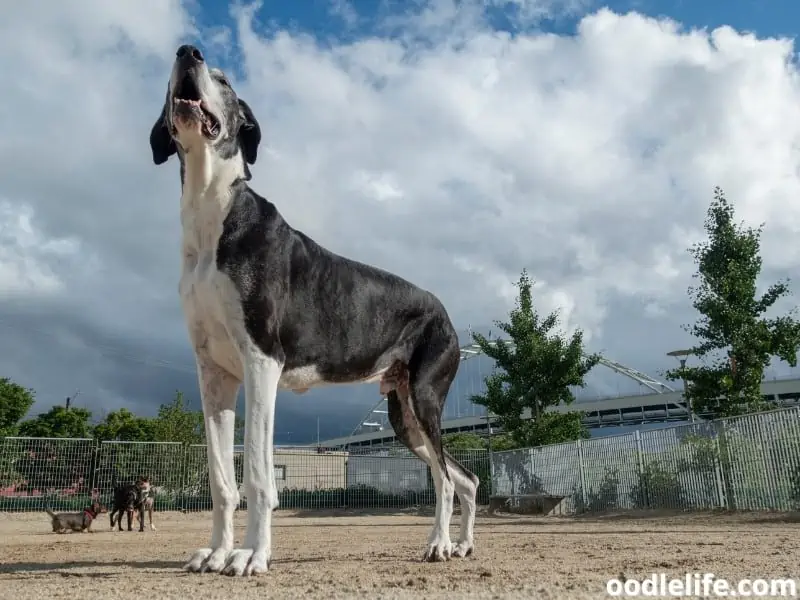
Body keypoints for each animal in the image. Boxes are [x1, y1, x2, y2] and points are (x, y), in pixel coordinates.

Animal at [148, 43, 476, 576]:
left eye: (224, 78)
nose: (187, 52)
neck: (213, 210)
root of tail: (445, 313)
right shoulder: (214, 373)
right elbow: (220, 477)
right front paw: (217, 552)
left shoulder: (261, 362)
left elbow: (258, 474)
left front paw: (251, 555)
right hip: (403, 415)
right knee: (464, 476)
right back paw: (462, 544)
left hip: (425, 397)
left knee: (447, 479)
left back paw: (438, 544)